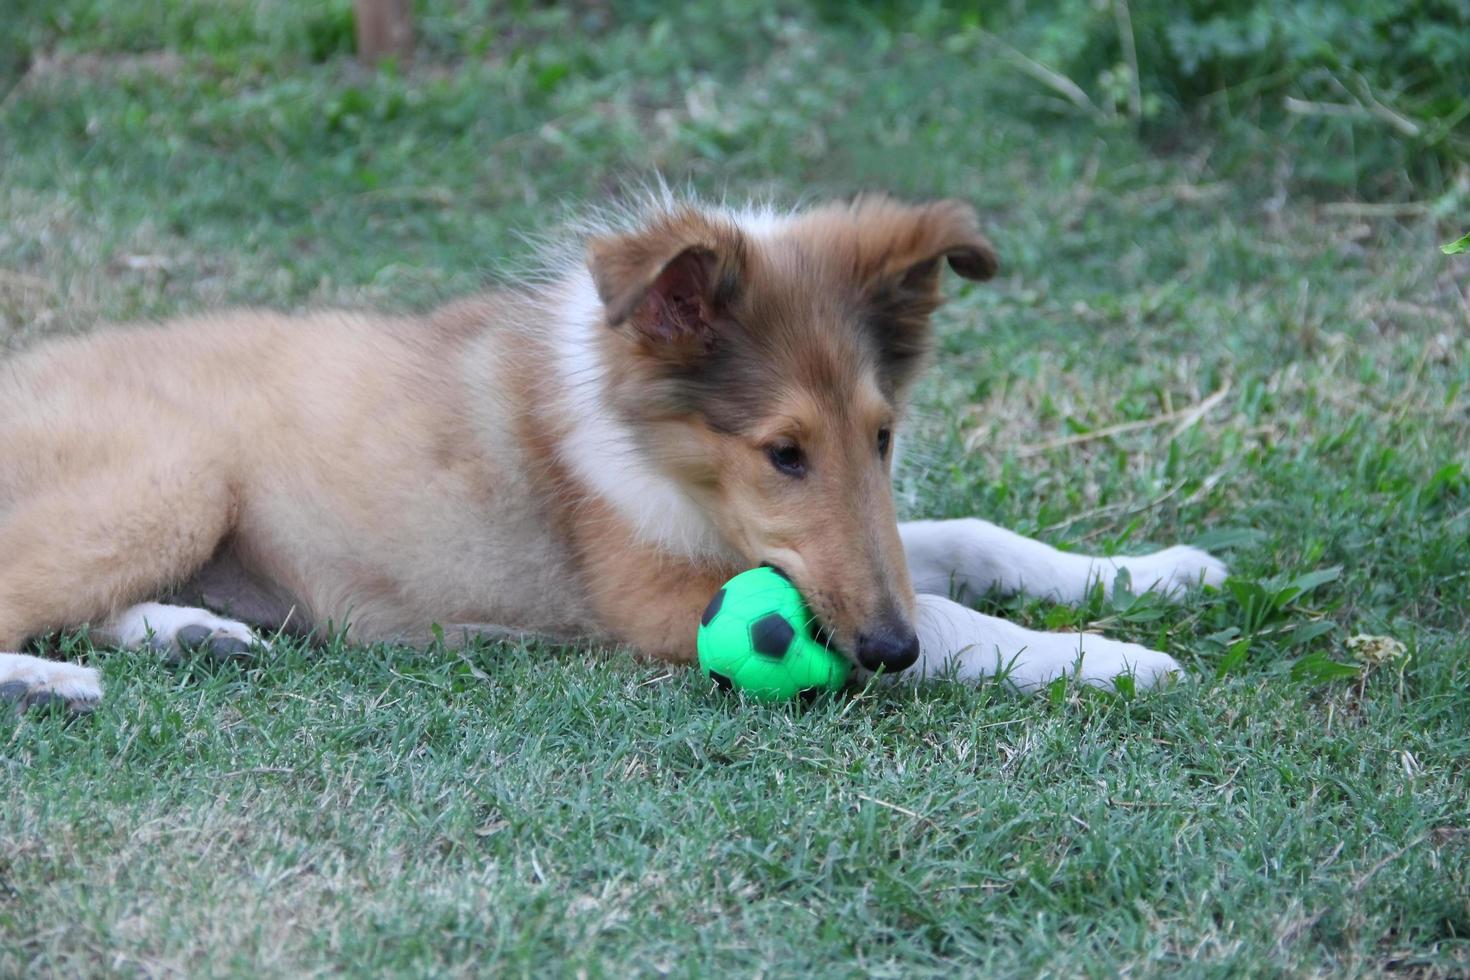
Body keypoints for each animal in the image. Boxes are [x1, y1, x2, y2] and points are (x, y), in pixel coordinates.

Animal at [0, 193, 1217, 714]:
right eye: (781, 451)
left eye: (882, 435)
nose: (885, 649)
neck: (658, 448)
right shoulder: (659, 591)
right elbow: (959, 616)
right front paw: (1111, 660)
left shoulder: (832, 548)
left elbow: (969, 540)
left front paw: (1153, 575)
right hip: (175, 476)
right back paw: (56, 685)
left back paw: (192, 634)